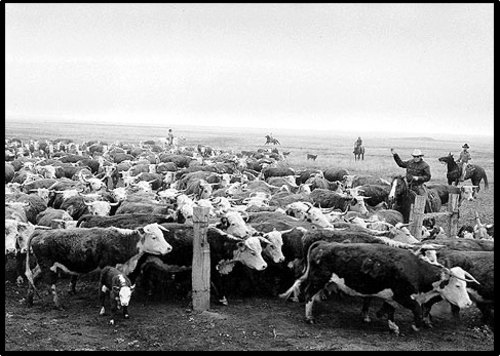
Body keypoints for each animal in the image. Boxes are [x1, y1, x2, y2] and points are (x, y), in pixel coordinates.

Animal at [25, 222, 174, 308]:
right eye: (154, 237)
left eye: (162, 234)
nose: (169, 248)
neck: (122, 242)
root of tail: (42, 232)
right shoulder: (107, 266)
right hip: (48, 266)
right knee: (51, 284)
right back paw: (57, 304)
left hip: (42, 266)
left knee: (33, 276)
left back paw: (29, 300)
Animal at [280, 241, 478, 336]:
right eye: (458, 285)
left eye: (466, 285)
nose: (468, 303)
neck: (415, 269)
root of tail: (322, 244)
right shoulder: (403, 296)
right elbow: (417, 310)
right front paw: (415, 326)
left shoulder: (391, 296)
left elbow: (390, 311)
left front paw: (393, 327)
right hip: (317, 280)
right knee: (308, 295)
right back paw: (309, 318)